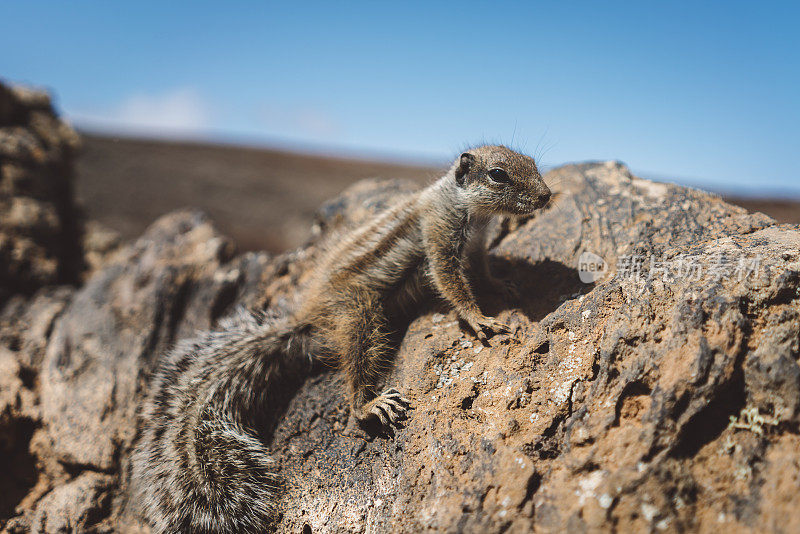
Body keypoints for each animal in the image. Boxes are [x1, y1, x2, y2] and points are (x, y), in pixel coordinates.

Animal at [133, 144, 552, 532]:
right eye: (498, 174)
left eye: (532, 162)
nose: (546, 196)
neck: (464, 205)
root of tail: (306, 318)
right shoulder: (439, 234)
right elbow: (450, 282)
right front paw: (478, 317)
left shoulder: (476, 244)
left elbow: (480, 271)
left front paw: (502, 284)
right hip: (360, 314)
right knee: (354, 367)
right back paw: (368, 405)